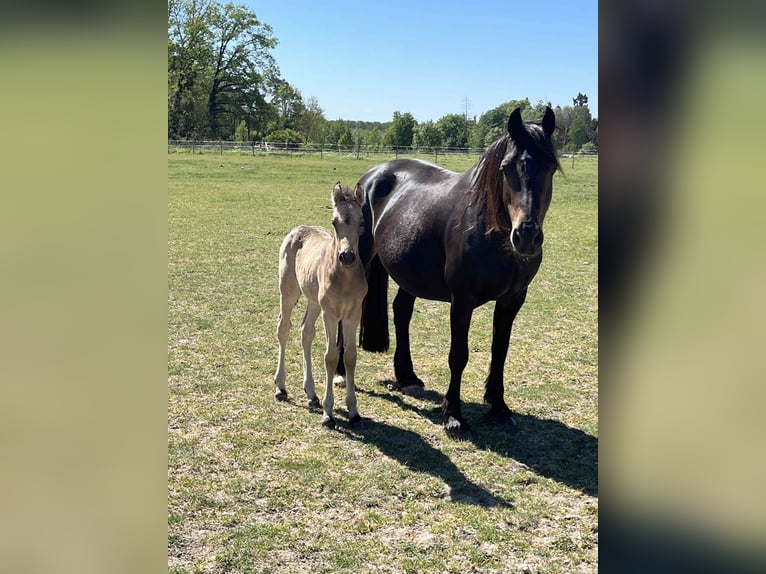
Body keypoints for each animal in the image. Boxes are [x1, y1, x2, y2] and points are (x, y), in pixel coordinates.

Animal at [272, 182, 368, 430]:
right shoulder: (331, 313)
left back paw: (311, 393)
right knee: (283, 328)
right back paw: (281, 386)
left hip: (314, 301)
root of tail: (297, 229)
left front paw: (353, 411)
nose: (347, 257)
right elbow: (331, 356)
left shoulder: (354, 313)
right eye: (334, 222)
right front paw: (328, 413)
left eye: (361, 222)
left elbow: (350, 356)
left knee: (306, 332)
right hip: (289, 292)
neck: (344, 278)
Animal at [356, 107, 560, 436]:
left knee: (401, 311)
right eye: (506, 168)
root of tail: (373, 175)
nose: (526, 236)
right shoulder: (462, 300)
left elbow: (500, 351)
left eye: (550, 166)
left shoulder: (512, 300)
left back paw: (407, 377)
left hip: (410, 274)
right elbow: (458, 356)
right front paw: (454, 415)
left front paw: (499, 407)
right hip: (357, 260)